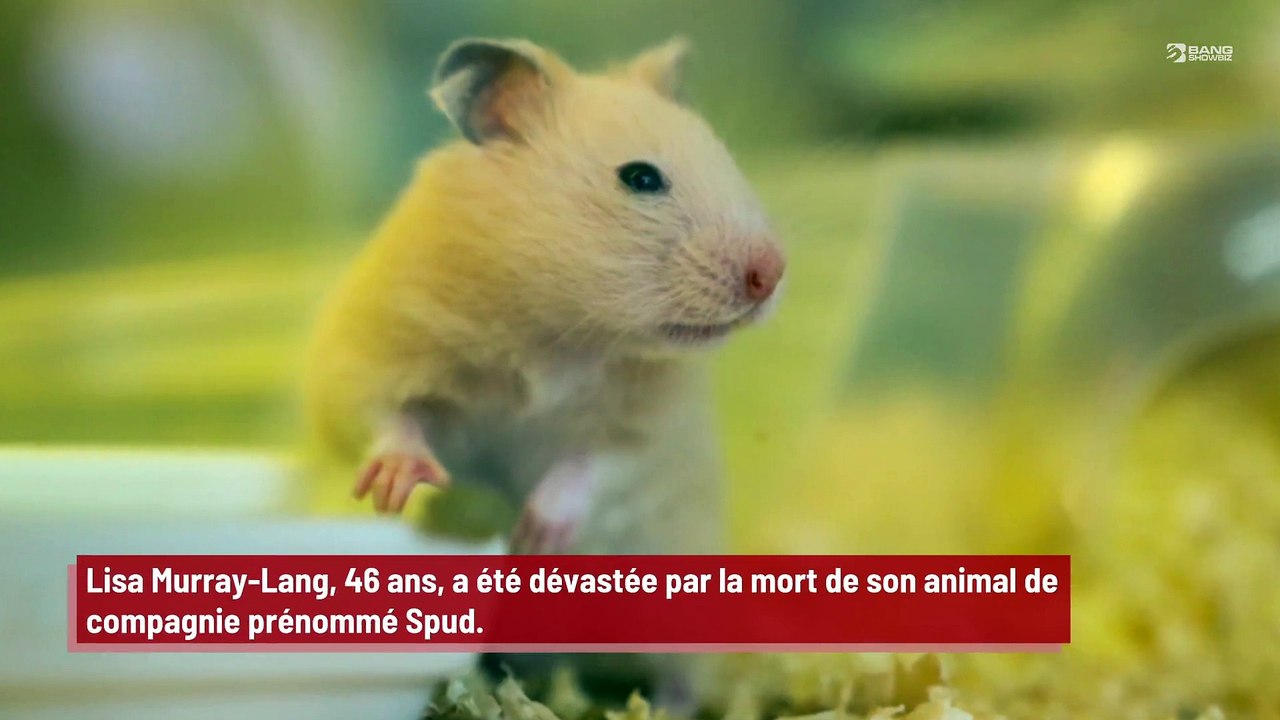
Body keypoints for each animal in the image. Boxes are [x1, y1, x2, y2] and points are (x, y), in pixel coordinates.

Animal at [303, 37, 785, 557]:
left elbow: (593, 464)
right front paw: (393, 490)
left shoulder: (648, 431)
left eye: (727, 163)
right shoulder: (366, 356)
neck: (556, 335)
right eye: (640, 178)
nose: (773, 273)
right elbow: (386, 418)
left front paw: (535, 537)